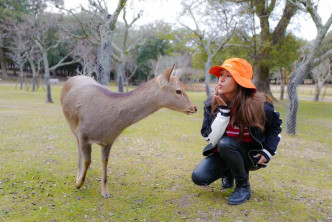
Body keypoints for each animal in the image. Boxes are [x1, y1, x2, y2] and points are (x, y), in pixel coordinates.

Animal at [60, 65, 197, 199]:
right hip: (71, 124)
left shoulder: (109, 141)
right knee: (79, 149)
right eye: (178, 90)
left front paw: (105, 192)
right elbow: (87, 160)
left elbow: (105, 162)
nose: (194, 107)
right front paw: (78, 183)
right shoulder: (82, 134)